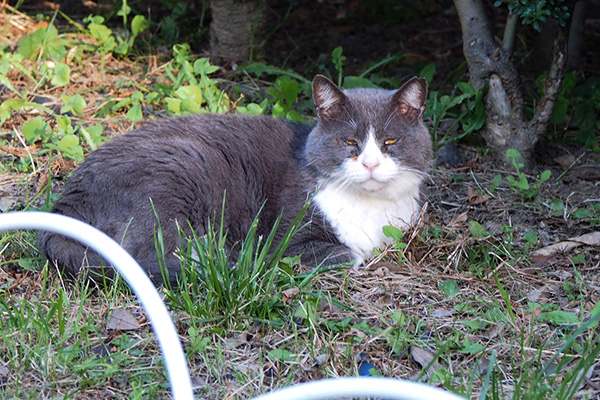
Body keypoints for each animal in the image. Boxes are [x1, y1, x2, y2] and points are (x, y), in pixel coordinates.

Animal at [37, 73, 432, 282]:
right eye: (349, 142)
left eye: (390, 141)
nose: (370, 164)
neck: (372, 208)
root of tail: (65, 206)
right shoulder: (288, 236)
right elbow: (349, 255)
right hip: (178, 167)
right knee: (153, 254)